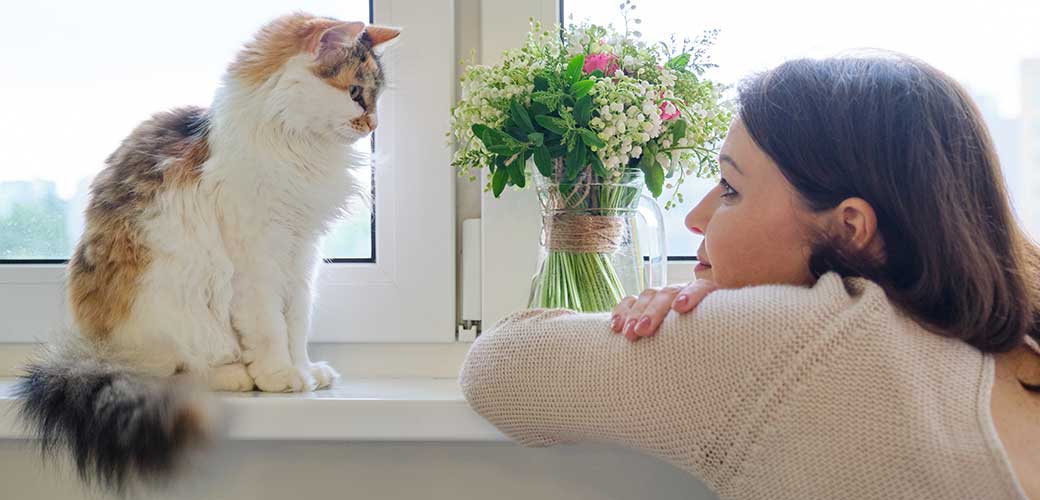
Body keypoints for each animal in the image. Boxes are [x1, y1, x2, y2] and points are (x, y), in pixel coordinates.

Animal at [16, 12, 397, 490]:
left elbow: (296, 325)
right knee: (176, 369)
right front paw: (279, 375)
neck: (297, 150)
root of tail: (95, 352)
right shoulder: (258, 259)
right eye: (354, 93)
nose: (374, 125)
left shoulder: (300, 256)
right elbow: (271, 328)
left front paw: (307, 370)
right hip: (175, 301)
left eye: (376, 96)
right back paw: (235, 376)